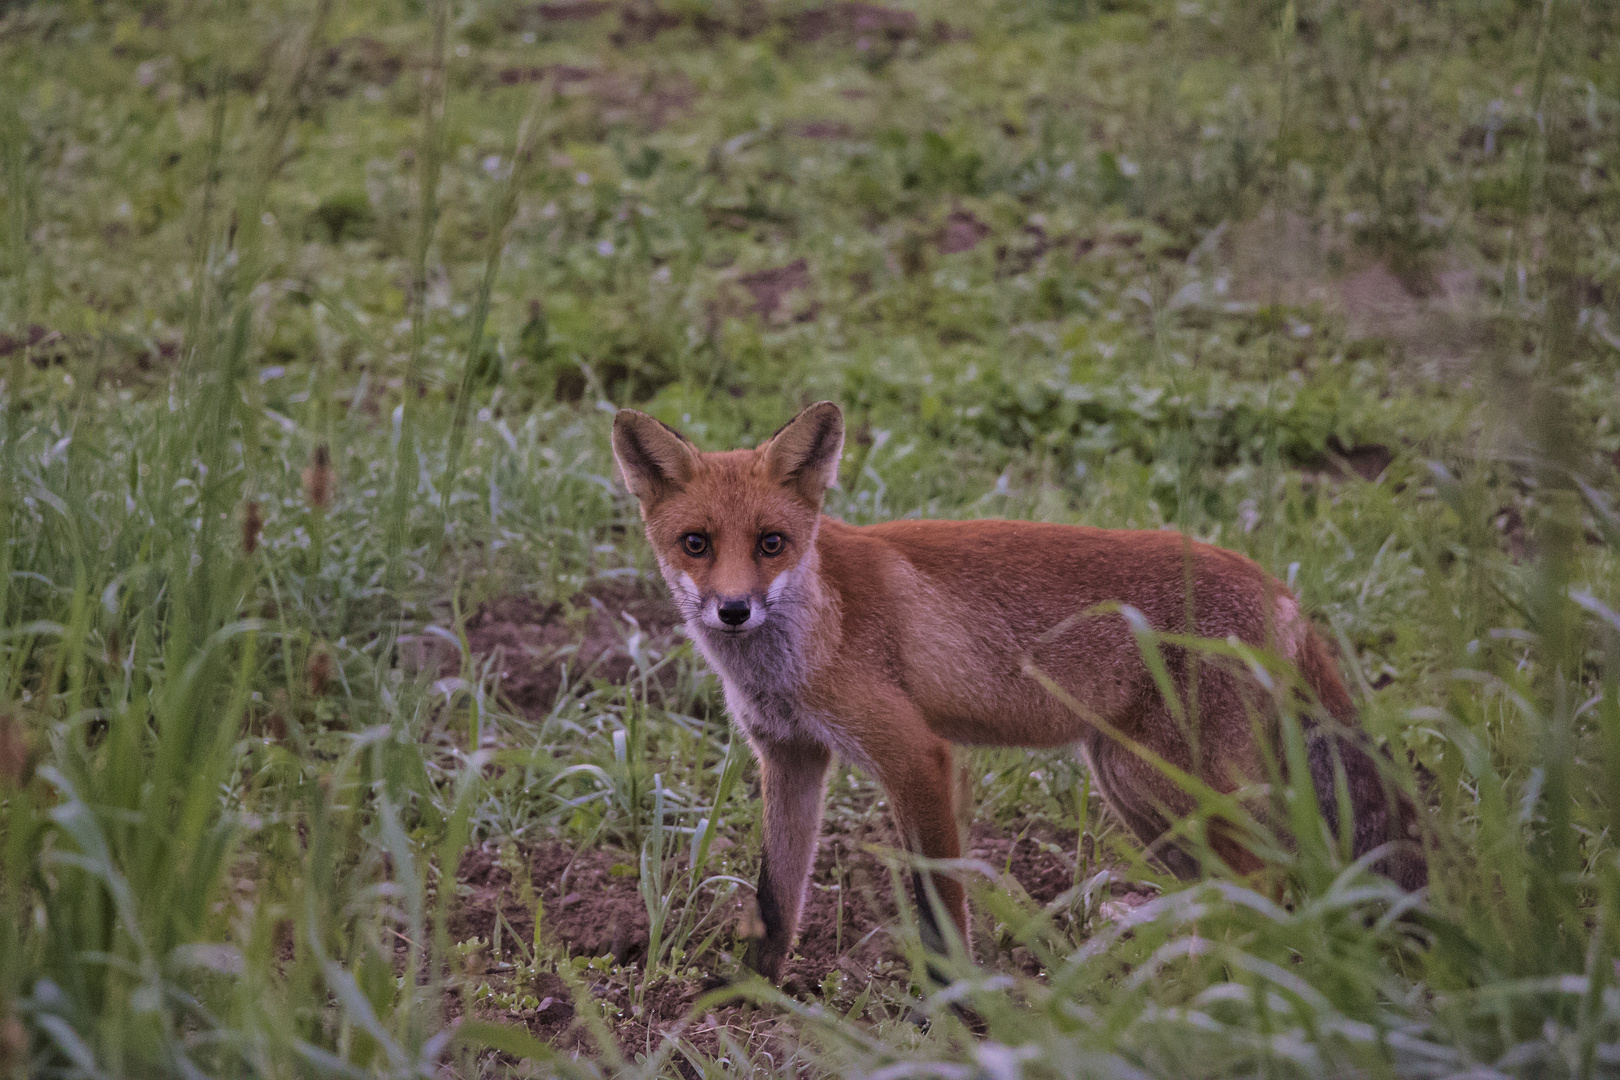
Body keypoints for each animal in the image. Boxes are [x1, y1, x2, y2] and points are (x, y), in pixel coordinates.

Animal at [612, 401, 1425, 984]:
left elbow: (941, 908)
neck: (813, 630)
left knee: (1270, 875)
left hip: (1156, 777)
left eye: (772, 543)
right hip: (1138, 791)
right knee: (1246, 885)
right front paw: (752, 994)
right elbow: (775, 900)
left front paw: (951, 1010)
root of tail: (1280, 589)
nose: (733, 609)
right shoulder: (791, 757)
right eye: (696, 544)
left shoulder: (917, 756)